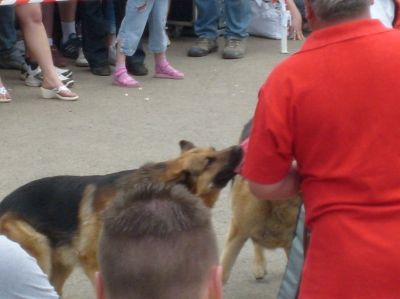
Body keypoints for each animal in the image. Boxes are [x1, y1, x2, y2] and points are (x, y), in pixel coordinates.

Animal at [0, 142, 241, 296]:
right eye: (209, 160)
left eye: (213, 150)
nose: (239, 148)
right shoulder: (95, 263)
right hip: (38, 248)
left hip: (59, 261)